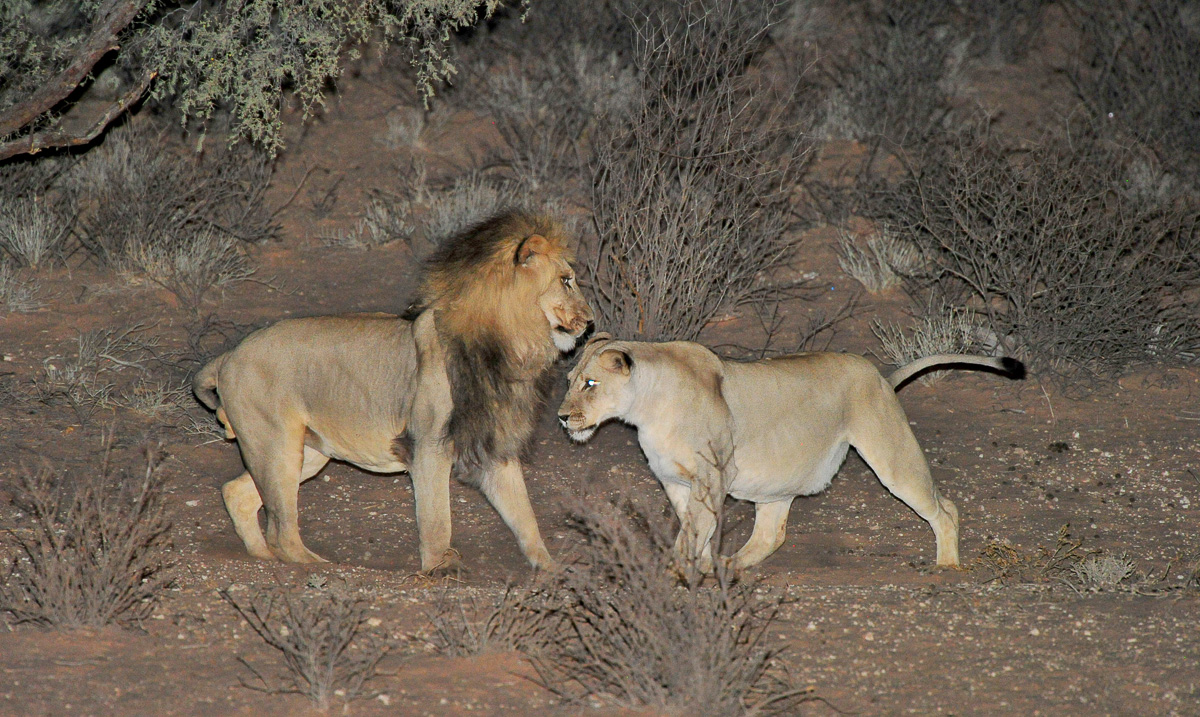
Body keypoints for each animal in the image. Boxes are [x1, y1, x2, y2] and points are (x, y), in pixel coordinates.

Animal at [193, 210, 593, 573]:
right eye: (566, 280)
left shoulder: (492, 446)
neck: (512, 347)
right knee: (281, 531)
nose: (590, 323)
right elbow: (436, 517)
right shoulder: (428, 445)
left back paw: (261, 559)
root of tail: (230, 354)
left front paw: (552, 568)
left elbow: (525, 516)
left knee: (238, 494)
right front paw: (439, 568)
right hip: (277, 446)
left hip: (306, 453)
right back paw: (320, 567)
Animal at [557, 334, 1024, 573]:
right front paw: (703, 568)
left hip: (892, 457)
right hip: (776, 482)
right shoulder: (674, 480)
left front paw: (676, 574)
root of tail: (880, 375)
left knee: (946, 509)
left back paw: (947, 568)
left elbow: (692, 532)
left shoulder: (711, 477)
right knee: (771, 535)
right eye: (569, 380)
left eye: (591, 383)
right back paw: (731, 568)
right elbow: (697, 529)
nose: (561, 417)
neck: (647, 410)